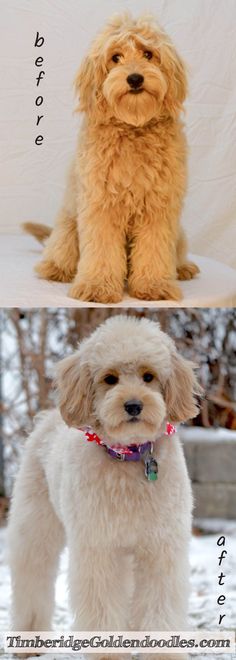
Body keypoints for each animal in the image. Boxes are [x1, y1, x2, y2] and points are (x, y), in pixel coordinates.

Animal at [8, 316, 202, 660]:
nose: (134, 405)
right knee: (33, 576)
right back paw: (29, 639)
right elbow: (102, 602)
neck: (129, 456)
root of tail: (48, 417)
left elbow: (159, 602)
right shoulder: (99, 548)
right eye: (110, 379)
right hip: (35, 525)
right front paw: (108, 653)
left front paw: (162, 652)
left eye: (149, 376)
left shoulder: (161, 547)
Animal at [24, 12, 199, 302]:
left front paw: (154, 286)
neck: (133, 127)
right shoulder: (100, 205)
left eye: (148, 54)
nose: (135, 78)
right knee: (60, 250)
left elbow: (154, 248)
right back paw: (54, 268)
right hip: (68, 225)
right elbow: (102, 251)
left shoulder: (159, 208)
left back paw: (183, 267)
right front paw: (97, 287)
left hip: (180, 233)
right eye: (115, 57)